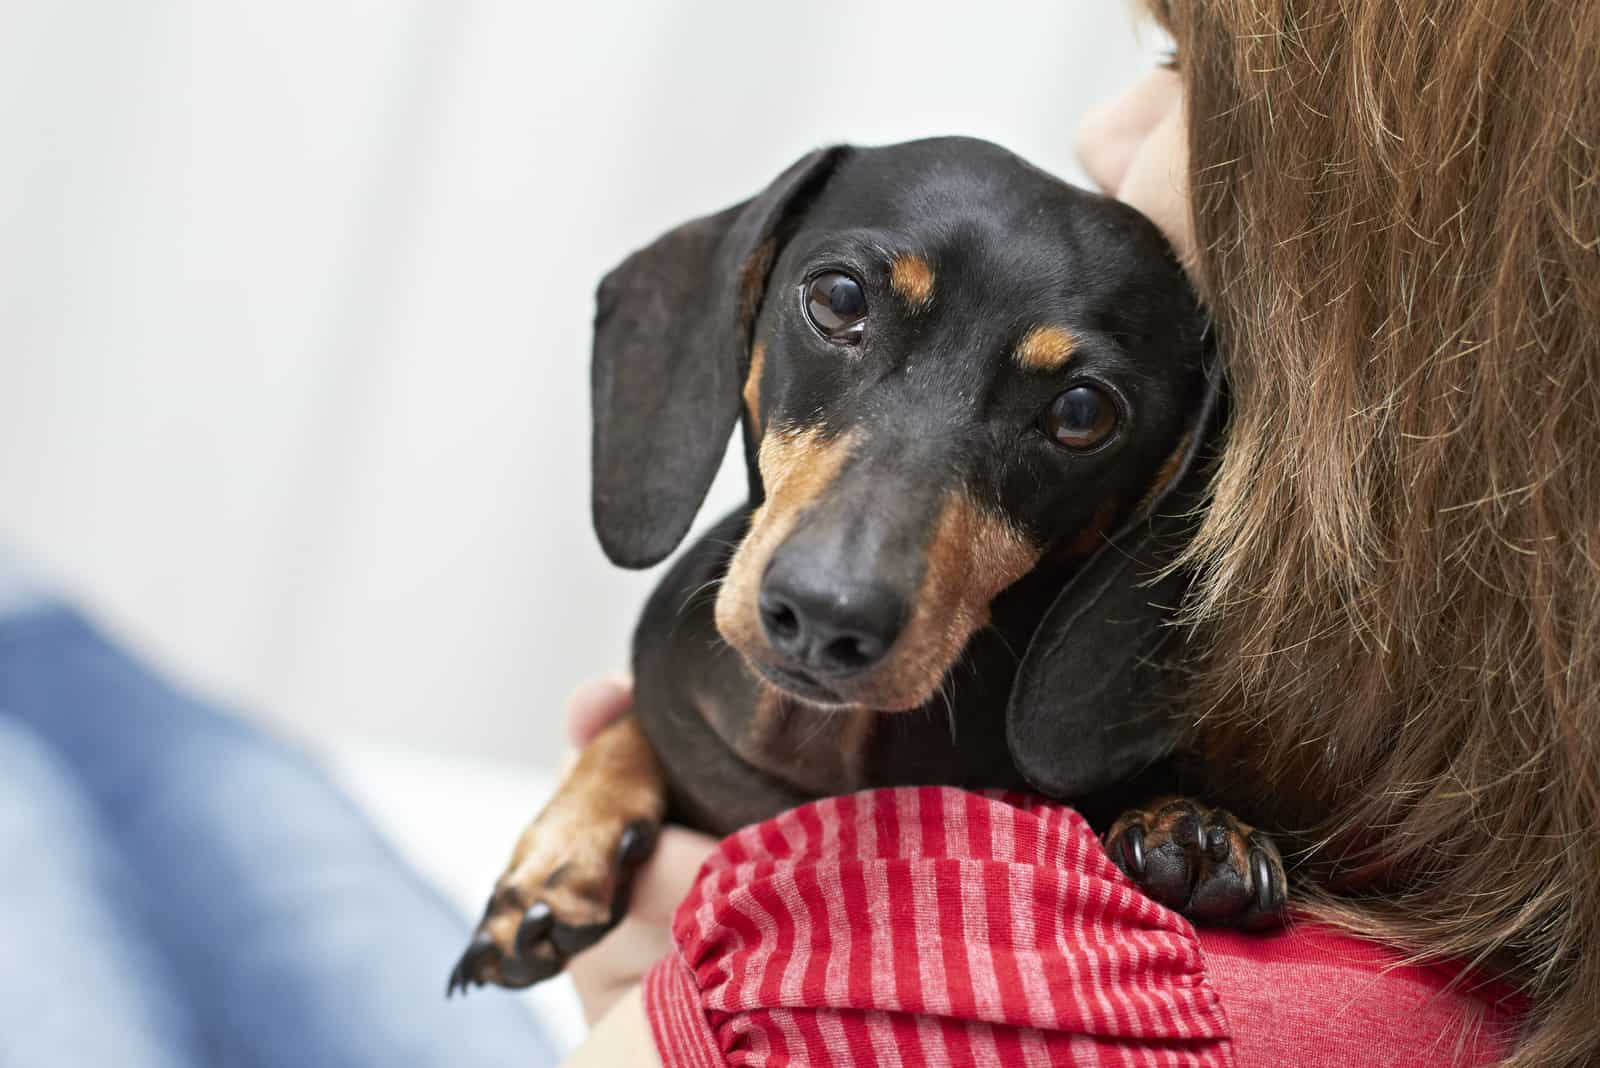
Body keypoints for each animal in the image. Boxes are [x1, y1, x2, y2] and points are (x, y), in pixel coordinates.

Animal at [448, 139, 1286, 991]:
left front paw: (1192, 826)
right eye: (838, 297)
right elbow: (629, 727)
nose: (825, 616)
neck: (813, 749)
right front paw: (563, 854)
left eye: (1083, 413)